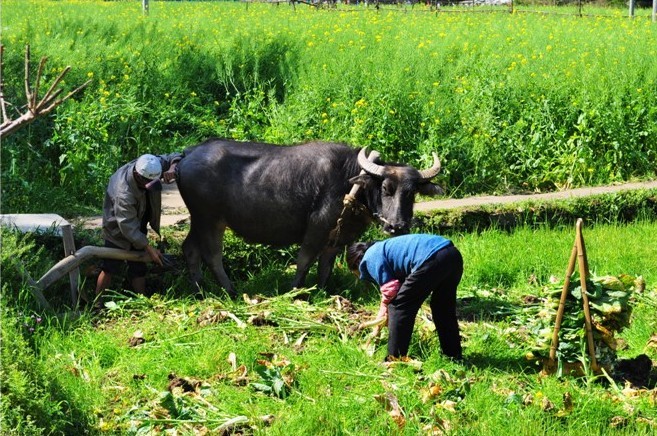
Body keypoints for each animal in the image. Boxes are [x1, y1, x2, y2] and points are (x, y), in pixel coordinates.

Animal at [176, 140, 440, 296]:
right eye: (386, 188)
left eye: (412, 192)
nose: (397, 226)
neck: (349, 183)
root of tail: (188, 153)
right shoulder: (317, 228)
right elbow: (304, 261)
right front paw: (294, 291)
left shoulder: (336, 237)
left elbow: (326, 266)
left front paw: (323, 291)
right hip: (209, 219)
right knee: (212, 255)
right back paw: (231, 291)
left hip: (198, 220)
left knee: (190, 248)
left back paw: (199, 289)